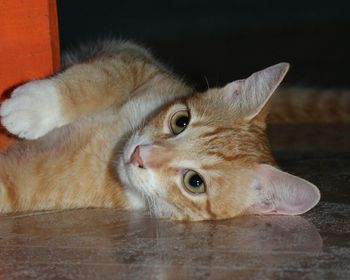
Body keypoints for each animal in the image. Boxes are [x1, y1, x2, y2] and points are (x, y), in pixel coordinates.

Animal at [0, 40, 322, 221]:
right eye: (180, 121)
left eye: (194, 182)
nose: (139, 155)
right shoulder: (134, 62)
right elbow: (98, 79)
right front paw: (33, 106)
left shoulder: (40, 177)